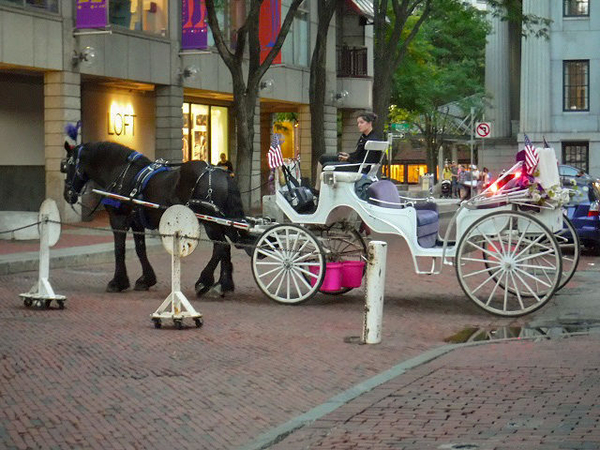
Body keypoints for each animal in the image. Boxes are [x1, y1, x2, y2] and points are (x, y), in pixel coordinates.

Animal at [61, 141, 248, 296]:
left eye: (66, 166)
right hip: (222, 221)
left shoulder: (118, 218)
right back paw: (223, 284)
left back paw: (204, 281)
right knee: (225, 247)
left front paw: (117, 282)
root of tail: (223, 175)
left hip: (210, 222)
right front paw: (146, 279)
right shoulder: (136, 221)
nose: (67, 194)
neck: (121, 173)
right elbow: (140, 248)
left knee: (220, 246)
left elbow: (119, 249)